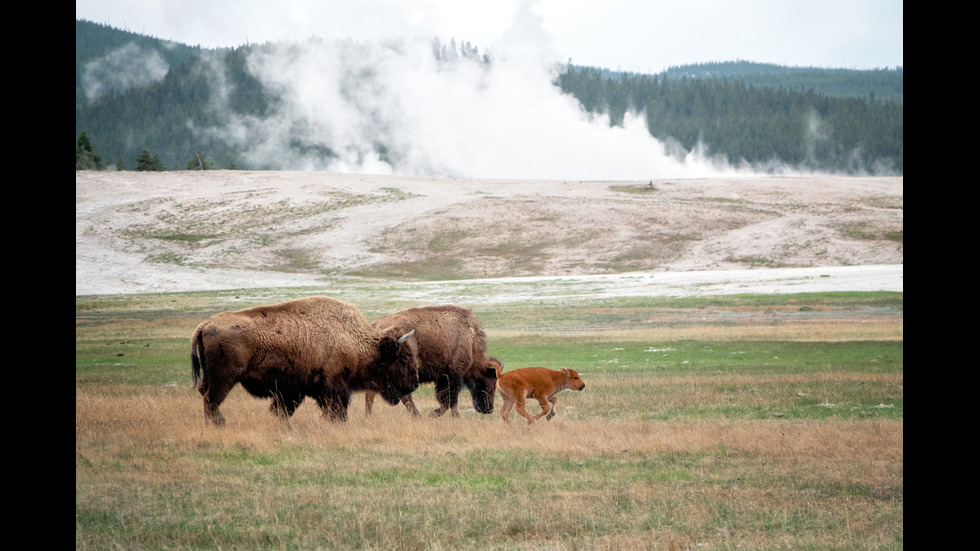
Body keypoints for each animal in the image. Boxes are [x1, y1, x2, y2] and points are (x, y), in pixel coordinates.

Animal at [192, 296, 422, 424]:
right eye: (403, 358)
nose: (414, 383)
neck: (355, 339)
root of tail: (205, 325)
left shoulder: (296, 391)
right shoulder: (335, 386)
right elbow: (337, 410)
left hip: (213, 378)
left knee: (205, 394)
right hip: (225, 378)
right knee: (210, 399)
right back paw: (215, 424)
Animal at [364, 306, 498, 418]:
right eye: (490, 382)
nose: (489, 409)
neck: (471, 341)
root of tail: (374, 326)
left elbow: (449, 399)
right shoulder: (453, 375)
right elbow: (450, 399)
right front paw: (437, 414)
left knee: (373, 393)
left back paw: (369, 416)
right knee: (403, 395)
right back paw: (417, 415)